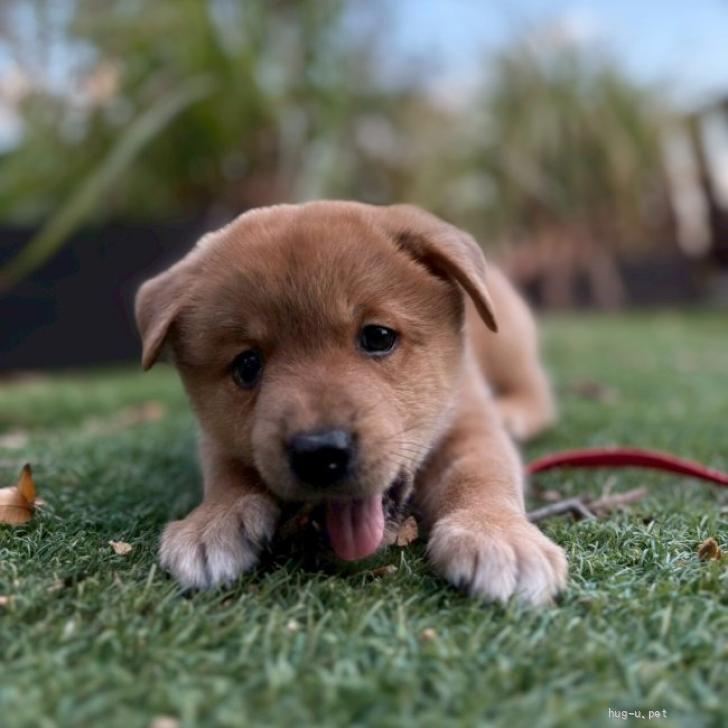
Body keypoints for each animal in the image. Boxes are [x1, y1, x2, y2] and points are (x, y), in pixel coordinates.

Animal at [135, 201, 567, 605]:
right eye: (247, 365)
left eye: (378, 336)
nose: (320, 453)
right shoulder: (215, 437)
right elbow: (228, 471)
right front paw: (213, 521)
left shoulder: (470, 417)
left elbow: (481, 473)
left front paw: (497, 534)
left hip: (508, 339)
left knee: (537, 392)